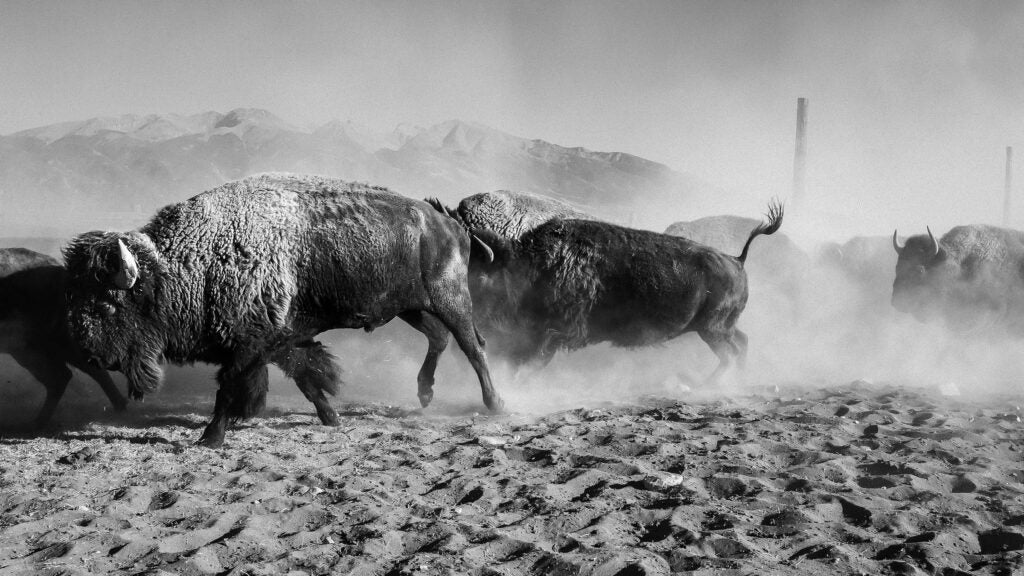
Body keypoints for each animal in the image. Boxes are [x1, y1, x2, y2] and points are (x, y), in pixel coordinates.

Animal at [64, 173, 502, 447]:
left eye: (107, 304)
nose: (88, 353)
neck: (192, 262)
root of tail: (449, 221)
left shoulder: (248, 347)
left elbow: (230, 390)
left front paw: (210, 438)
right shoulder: (280, 338)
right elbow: (307, 377)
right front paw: (332, 418)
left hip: (449, 299)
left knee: (473, 346)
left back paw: (494, 403)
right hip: (409, 307)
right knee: (440, 338)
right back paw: (425, 392)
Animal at [469, 201, 784, 379]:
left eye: (482, 280)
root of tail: (737, 259)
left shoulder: (554, 332)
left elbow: (533, 358)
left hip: (713, 330)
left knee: (731, 353)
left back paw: (708, 386)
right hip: (720, 328)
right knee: (741, 344)